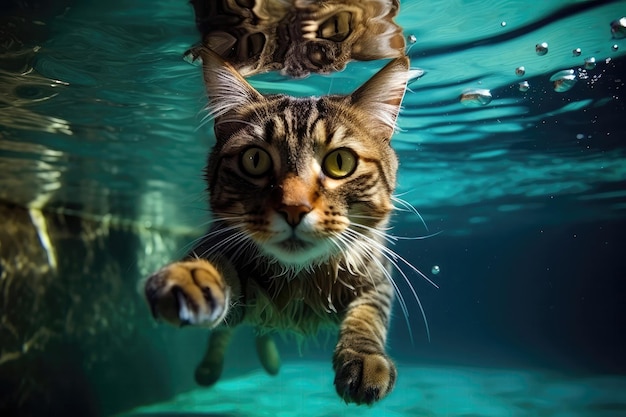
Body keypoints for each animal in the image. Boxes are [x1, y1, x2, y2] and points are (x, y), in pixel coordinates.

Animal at [144, 48, 412, 404]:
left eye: (340, 163)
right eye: (254, 160)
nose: (294, 208)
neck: (301, 279)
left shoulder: (377, 277)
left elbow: (368, 315)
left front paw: (365, 357)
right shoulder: (225, 256)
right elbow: (215, 270)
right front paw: (191, 278)